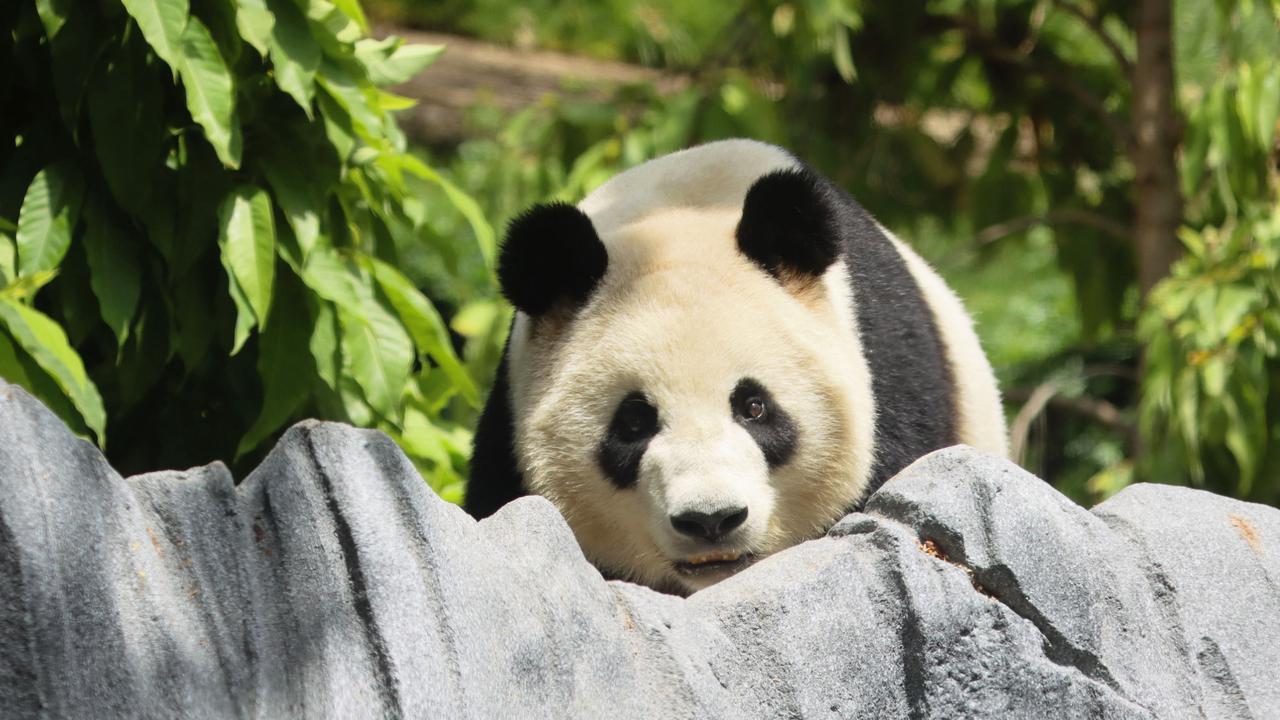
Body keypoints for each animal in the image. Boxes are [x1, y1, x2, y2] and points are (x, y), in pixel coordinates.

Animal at [465, 139, 1007, 596]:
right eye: (634, 422)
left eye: (754, 406)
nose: (710, 520)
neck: (682, 215)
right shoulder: (508, 425)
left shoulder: (894, 383)